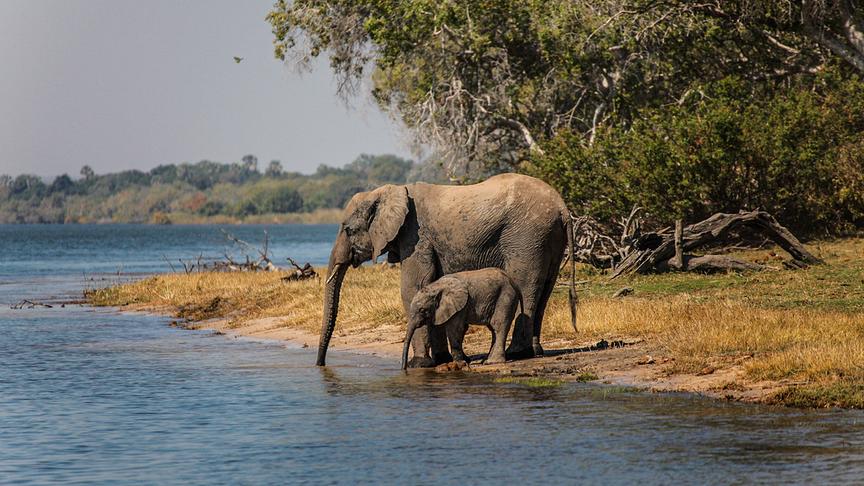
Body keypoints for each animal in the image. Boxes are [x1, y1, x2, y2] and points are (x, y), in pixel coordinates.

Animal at [317, 173, 577, 368]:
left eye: (348, 230)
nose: (320, 364)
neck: (388, 191)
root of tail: (562, 207)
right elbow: (433, 287)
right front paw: (441, 360)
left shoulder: (416, 237)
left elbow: (412, 289)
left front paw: (419, 364)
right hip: (549, 238)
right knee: (545, 291)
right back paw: (535, 352)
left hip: (527, 237)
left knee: (526, 287)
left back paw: (516, 354)